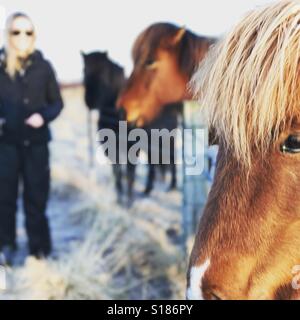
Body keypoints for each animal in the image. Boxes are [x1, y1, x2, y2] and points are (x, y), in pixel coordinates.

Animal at [81, 50, 135, 205]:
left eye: (103, 73)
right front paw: (119, 197)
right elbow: (116, 172)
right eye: (84, 70)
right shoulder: (110, 148)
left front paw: (129, 200)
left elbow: (130, 173)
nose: (90, 101)